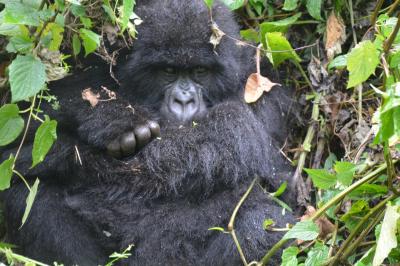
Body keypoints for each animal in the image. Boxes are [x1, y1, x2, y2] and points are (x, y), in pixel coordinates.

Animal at [1, 1, 296, 264]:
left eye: (200, 71)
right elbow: (21, 145)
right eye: (168, 71)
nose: (184, 101)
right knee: (29, 193)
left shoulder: (263, 88)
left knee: (265, 225)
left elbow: (262, 163)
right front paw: (113, 117)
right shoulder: (95, 68)